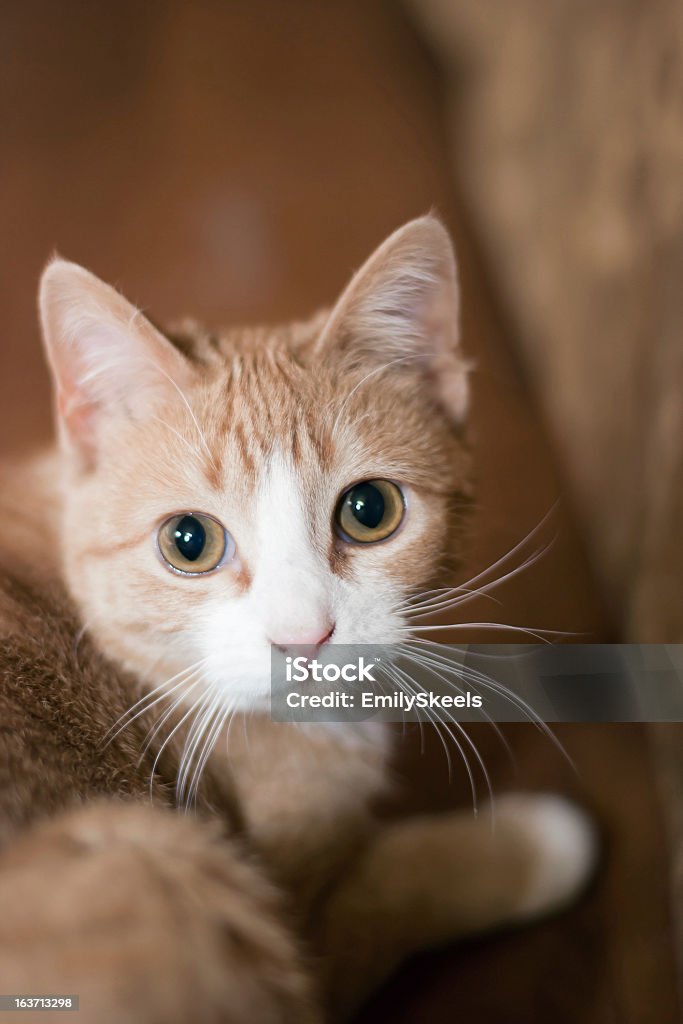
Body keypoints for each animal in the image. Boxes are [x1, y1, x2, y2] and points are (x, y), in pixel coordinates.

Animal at [0, 218, 593, 1024]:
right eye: (188, 541)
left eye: (369, 510)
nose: (303, 638)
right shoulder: (302, 946)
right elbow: (389, 886)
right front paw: (536, 843)